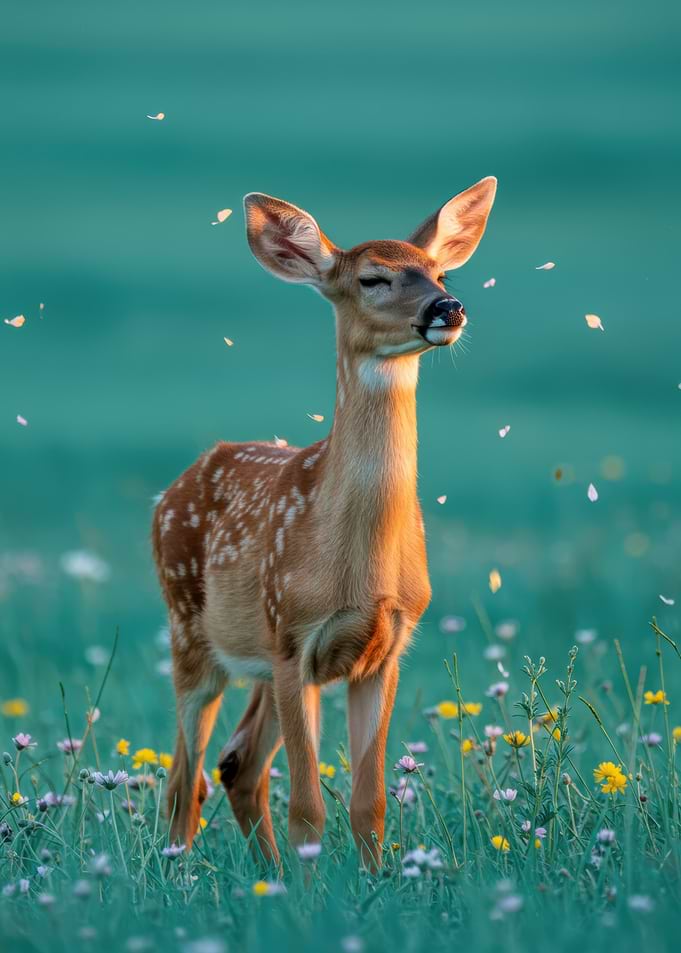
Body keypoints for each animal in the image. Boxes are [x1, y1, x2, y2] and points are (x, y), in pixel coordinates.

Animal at [151, 176, 497, 868]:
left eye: (439, 270)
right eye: (372, 278)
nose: (448, 307)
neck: (357, 567)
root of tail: (168, 492)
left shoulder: (387, 647)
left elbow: (370, 804)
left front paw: (373, 881)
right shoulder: (294, 637)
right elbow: (308, 807)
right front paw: (313, 888)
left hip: (253, 661)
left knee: (237, 765)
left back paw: (268, 877)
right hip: (191, 634)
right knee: (184, 777)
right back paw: (183, 872)